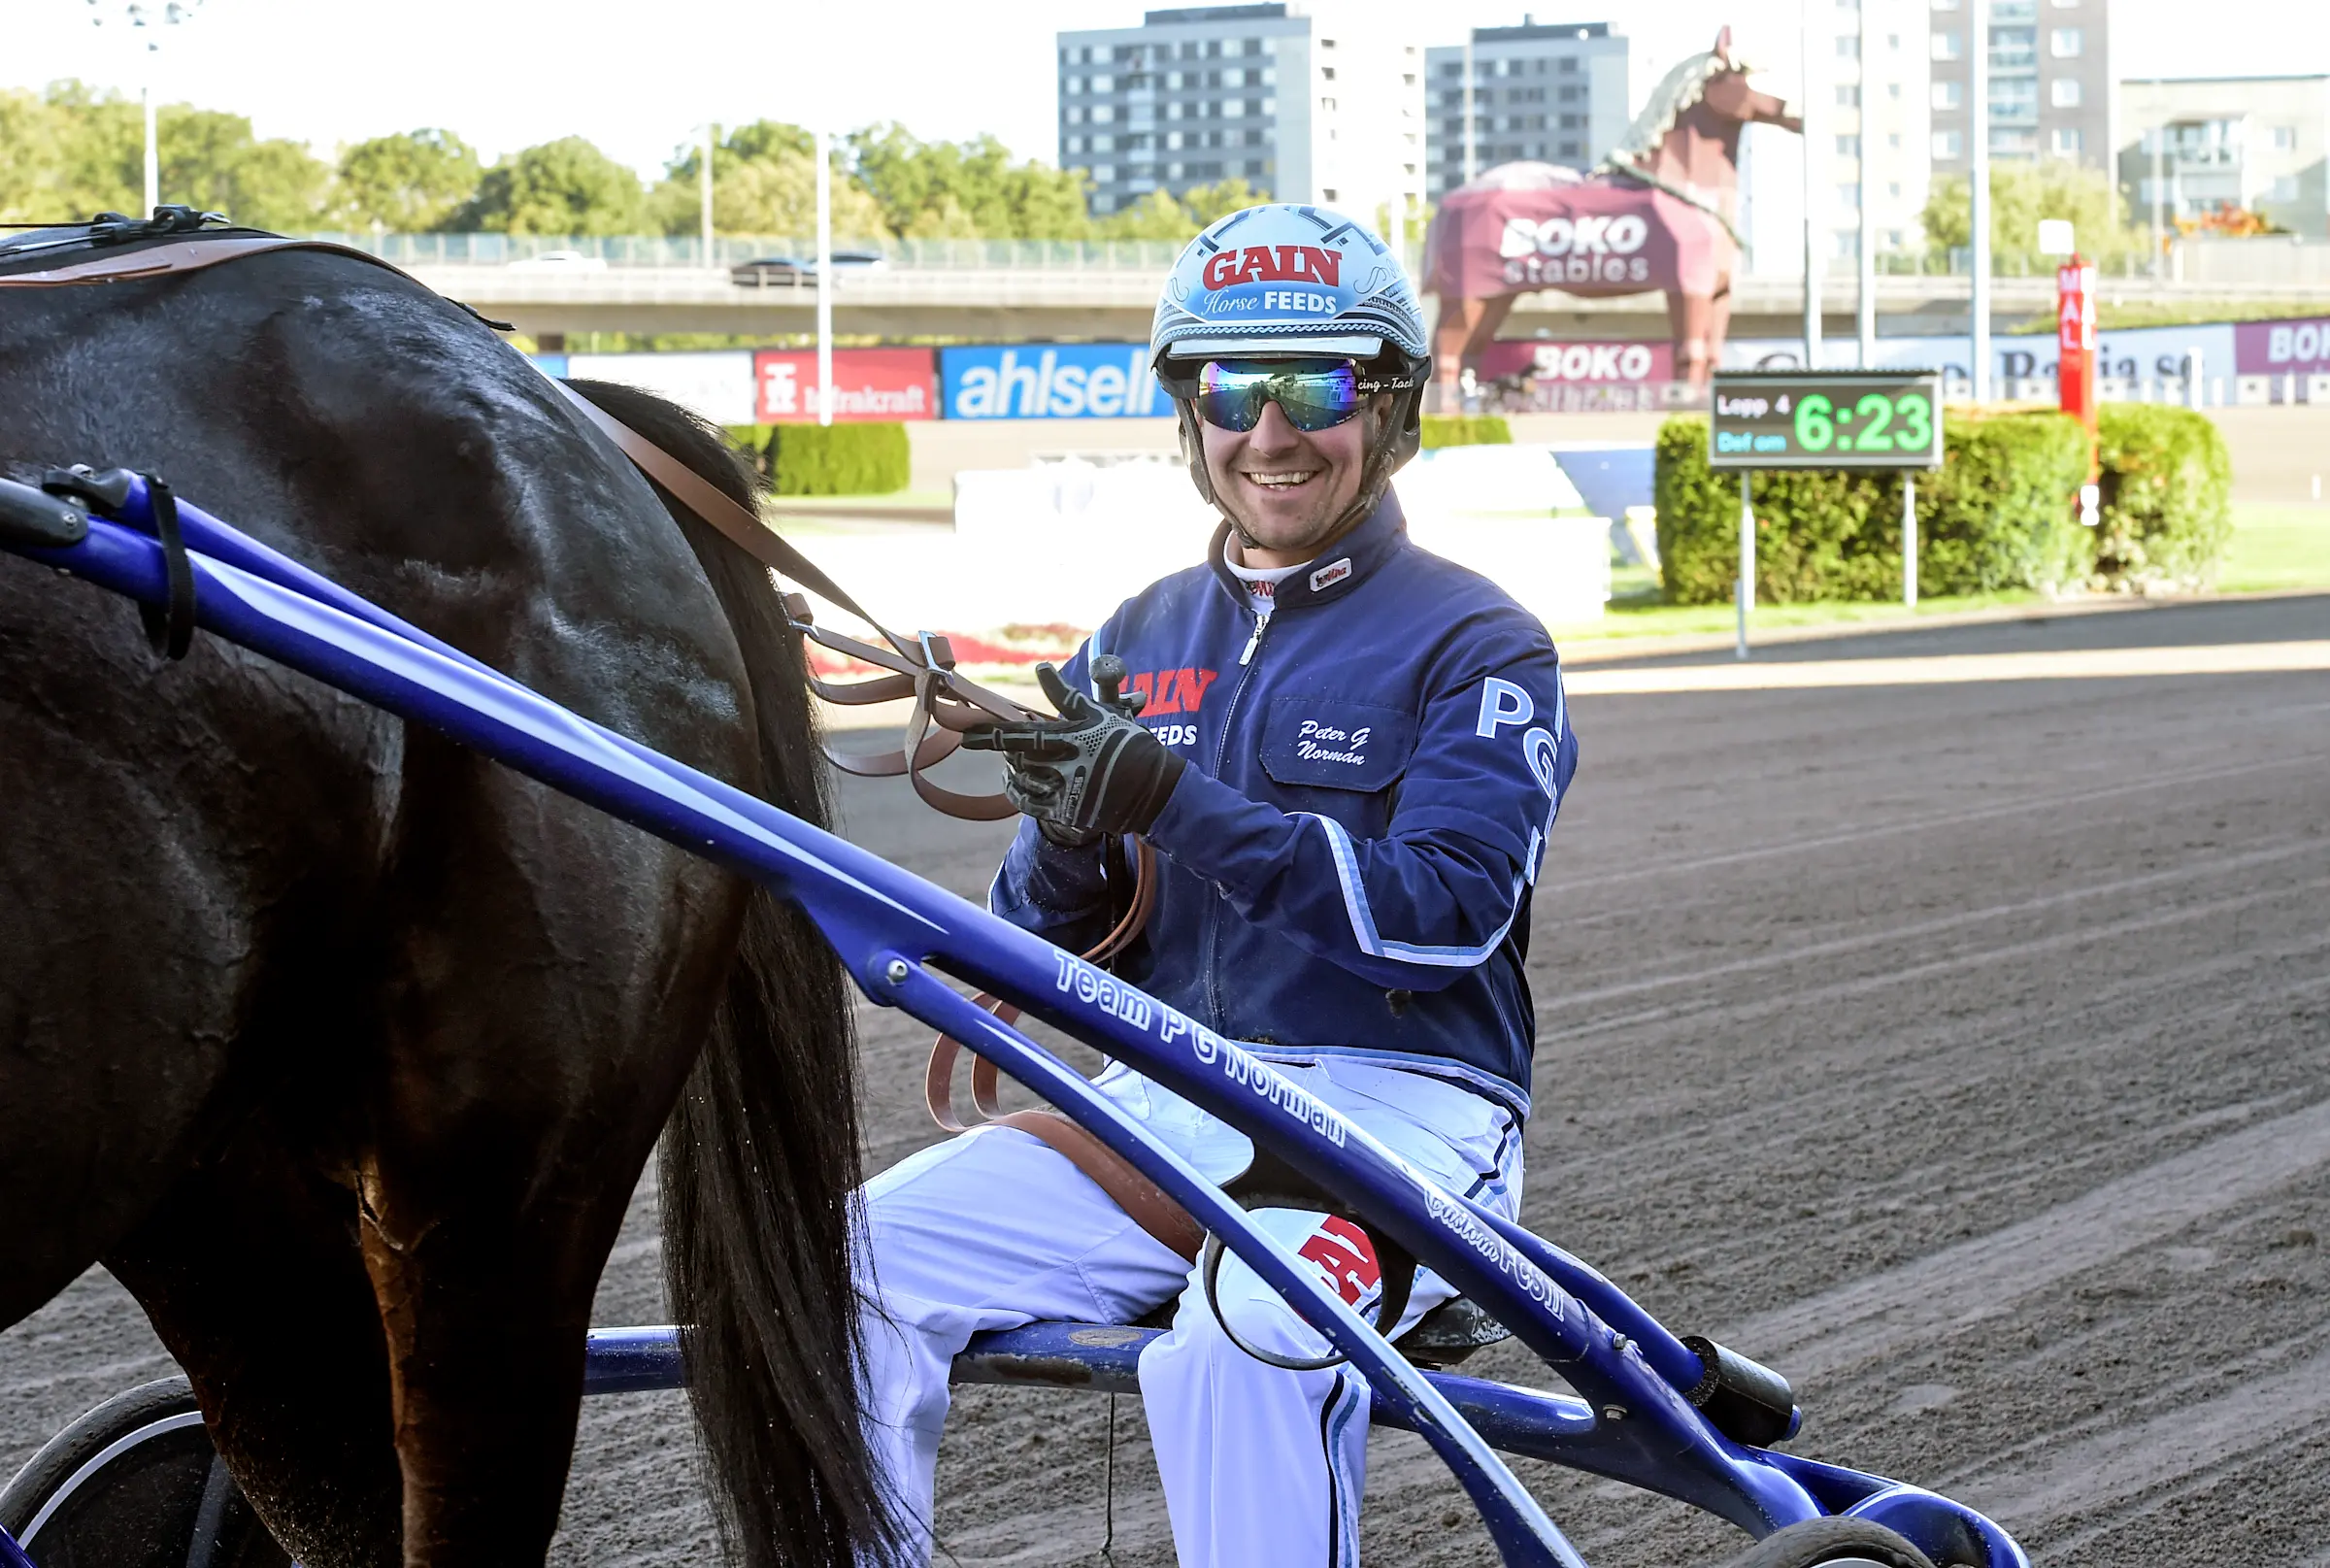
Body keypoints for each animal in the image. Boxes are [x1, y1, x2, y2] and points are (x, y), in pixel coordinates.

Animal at [1416, 28, 1798, 398]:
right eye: (1744, 73)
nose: (1798, 113)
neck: (1688, 189)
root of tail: (1447, 205)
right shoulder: (1690, 290)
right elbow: (1691, 353)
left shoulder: (1719, 294)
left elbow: (1712, 355)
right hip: (1466, 299)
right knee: (1446, 354)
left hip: (1495, 299)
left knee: (1470, 355)